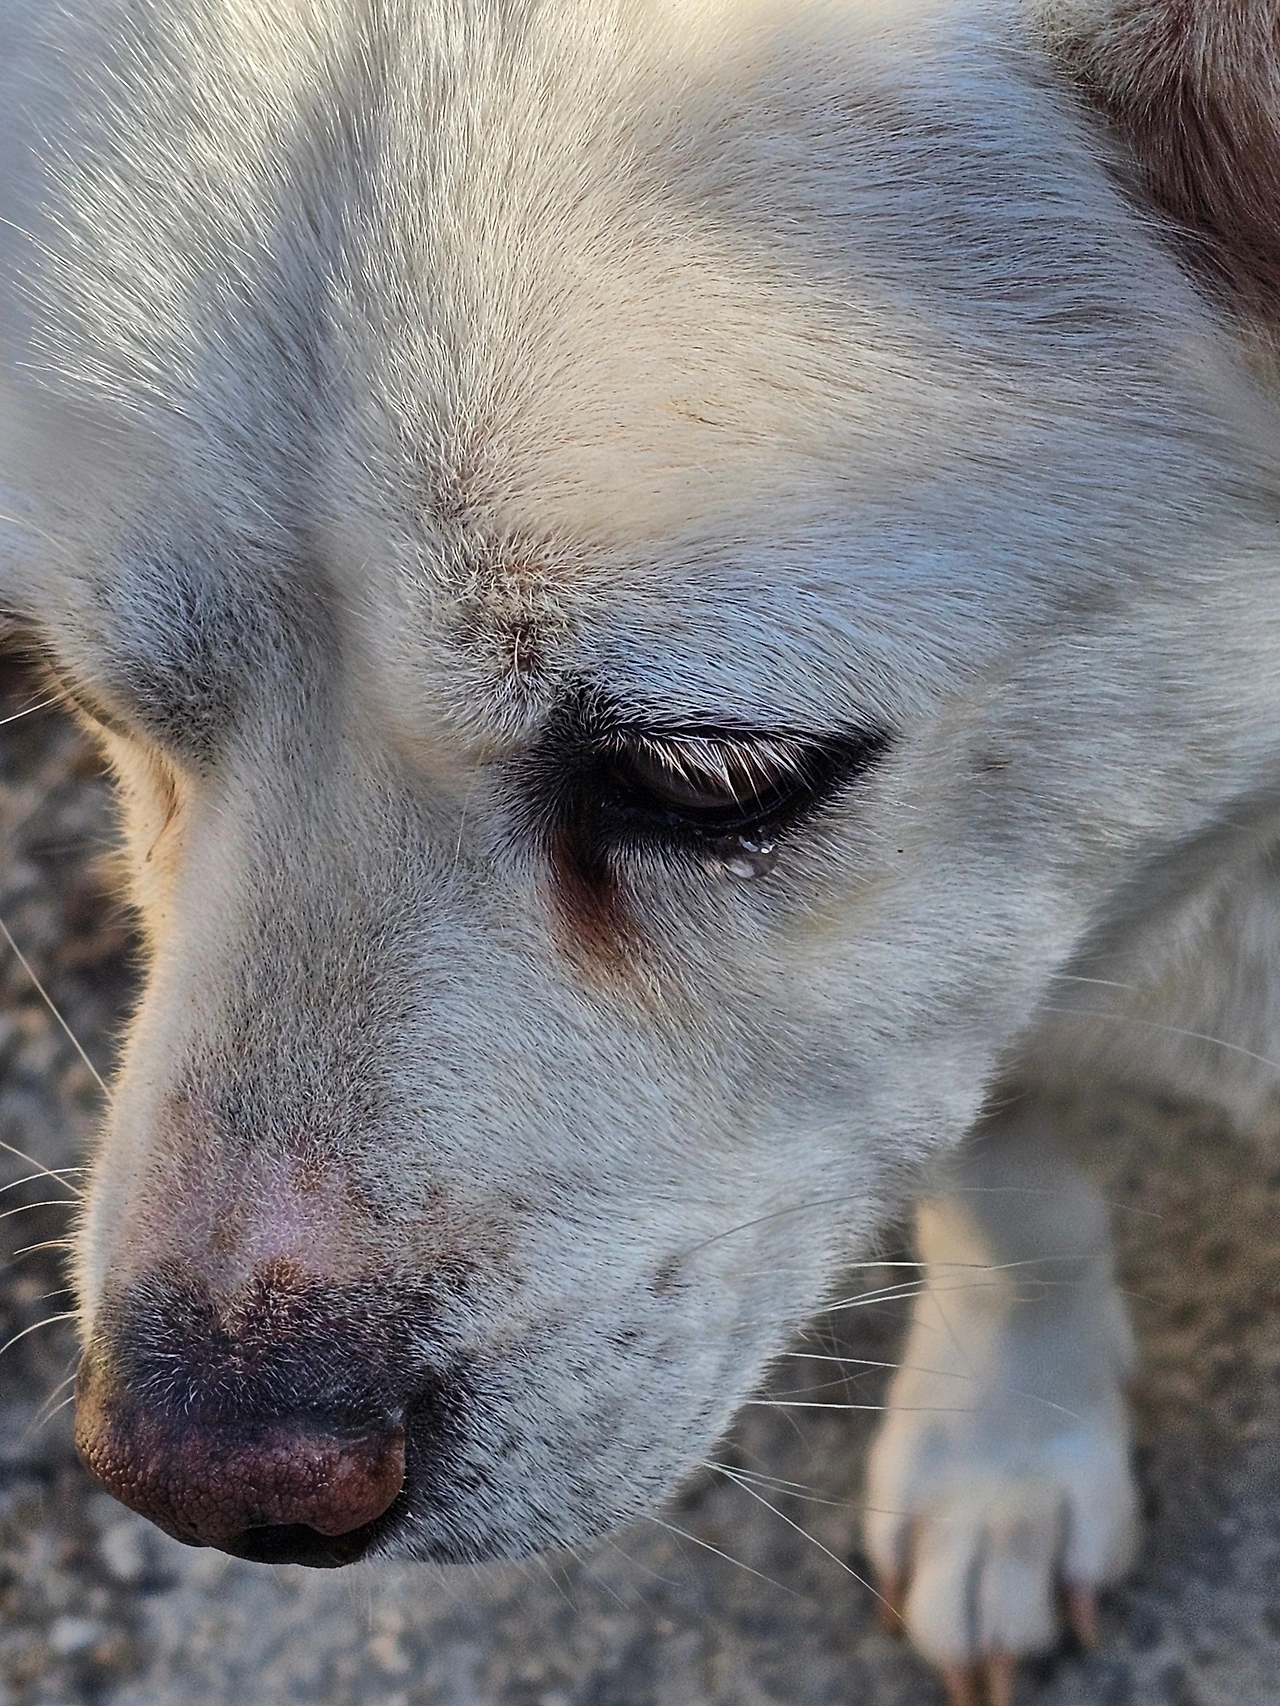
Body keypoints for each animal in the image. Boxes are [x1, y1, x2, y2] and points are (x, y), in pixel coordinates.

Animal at [3, 1, 1280, 1700]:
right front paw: (1008, 1451)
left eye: (708, 773)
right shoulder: (955, 989)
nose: (201, 1480)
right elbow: (1008, 1193)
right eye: (95, 698)